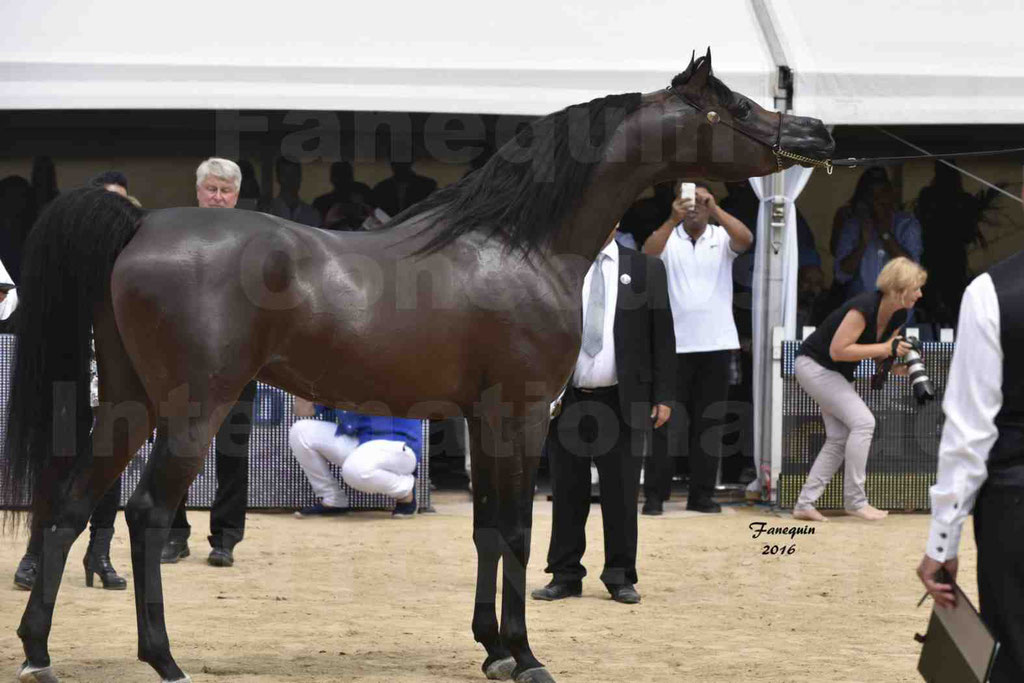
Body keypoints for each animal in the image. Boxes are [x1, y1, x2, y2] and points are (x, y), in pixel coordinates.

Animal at [2, 52, 831, 683]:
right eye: (733, 105)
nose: (816, 131)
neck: (522, 246)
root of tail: (141, 222)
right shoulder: (519, 414)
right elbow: (517, 530)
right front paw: (526, 654)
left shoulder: (484, 419)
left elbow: (489, 531)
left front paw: (493, 647)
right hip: (191, 411)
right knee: (144, 514)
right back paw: (164, 659)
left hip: (128, 403)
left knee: (69, 506)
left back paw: (39, 648)